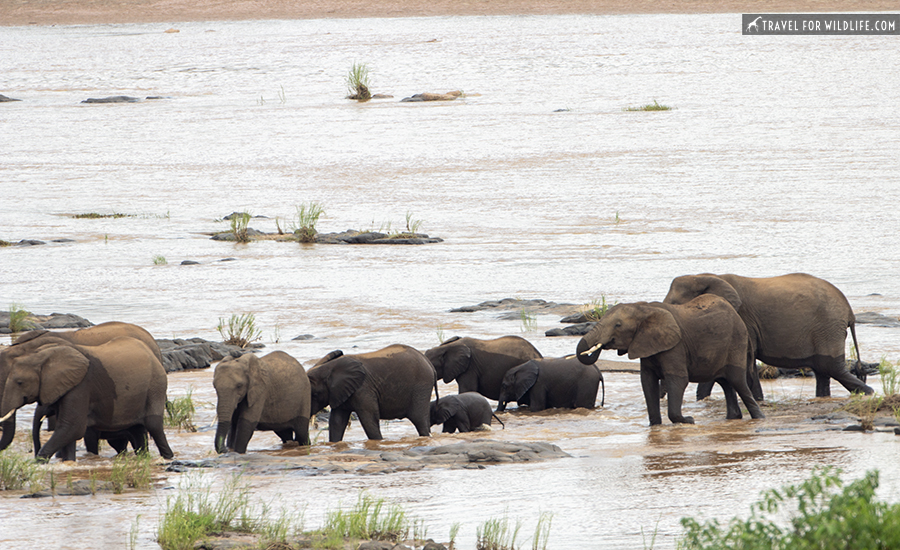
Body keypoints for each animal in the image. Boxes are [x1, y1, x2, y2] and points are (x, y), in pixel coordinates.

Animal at [0, 336, 173, 462]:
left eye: (20, 382)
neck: (43, 355)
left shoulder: (80, 387)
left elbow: (73, 428)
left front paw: (38, 463)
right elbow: (68, 430)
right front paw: (68, 462)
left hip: (156, 385)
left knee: (153, 425)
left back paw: (168, 457)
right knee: (137, 430)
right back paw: (144, 458)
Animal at [308, 344, 438, 444]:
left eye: (314, 395)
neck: (328, 367)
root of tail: (428, 362)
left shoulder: (363, 389)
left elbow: (369, 419)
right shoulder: (340, 392)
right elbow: (337, 421)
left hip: (421, 387)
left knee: (419, 420)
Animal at [576, 298, 768, 426]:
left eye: (618, 325)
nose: (600, 345)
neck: (643, 309)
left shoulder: (675, 346)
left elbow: (678, 380)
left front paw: (688, 420)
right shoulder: (647, 345)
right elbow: (647, 382)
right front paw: (655, 425)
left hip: (736, 343)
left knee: (737, 381)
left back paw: (759, 418)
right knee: (725, 382)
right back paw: (733, 418)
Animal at [664, 274, 868, 398]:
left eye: (674, 303)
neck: (706, 276)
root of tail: (849, 311)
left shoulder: (742, 319)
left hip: (828, 326)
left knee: (831, 366)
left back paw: (869, 393)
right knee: (822, 370)